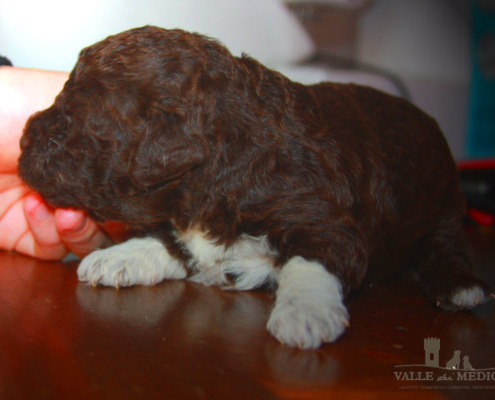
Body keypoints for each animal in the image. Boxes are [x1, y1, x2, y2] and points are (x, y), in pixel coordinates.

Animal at [17, 26, 494, 348]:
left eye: (70, 122)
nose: (21, 140)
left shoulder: (327, 219)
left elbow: (311, 261)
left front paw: (305, 311)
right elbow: (168, 239)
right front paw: (120, 256)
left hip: (443, 204)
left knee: (447, 244)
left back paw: (459, 287)